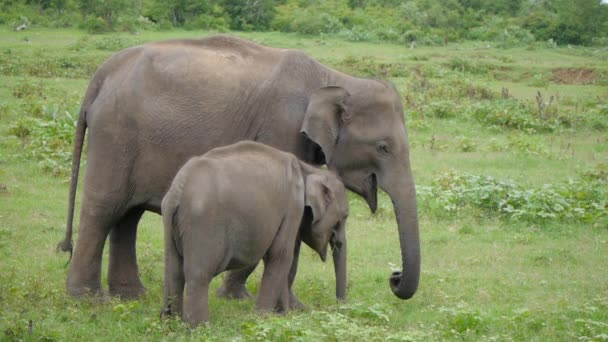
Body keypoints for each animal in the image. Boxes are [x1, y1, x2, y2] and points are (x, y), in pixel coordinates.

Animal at [58, 34, 418, 302]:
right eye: (383, 147)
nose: (394, 276)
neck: (334, 79)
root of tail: (101, 75)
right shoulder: (282, 127)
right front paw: (240, 299)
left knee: (128, 215)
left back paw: (132, 296)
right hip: (115, 135)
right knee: (105, 209)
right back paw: (89, 299)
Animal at [159, 141, 350, 326]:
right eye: (344, 217)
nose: (338, 307)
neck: (308, 169)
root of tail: (177, 191)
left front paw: (283, 315)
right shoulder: (292, 206)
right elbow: (281, 255)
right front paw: (262, 318)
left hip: (172, 223)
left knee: (174, 271)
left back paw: (172, 322)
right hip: (203, 223)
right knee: (198, 274)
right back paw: (200, 327)